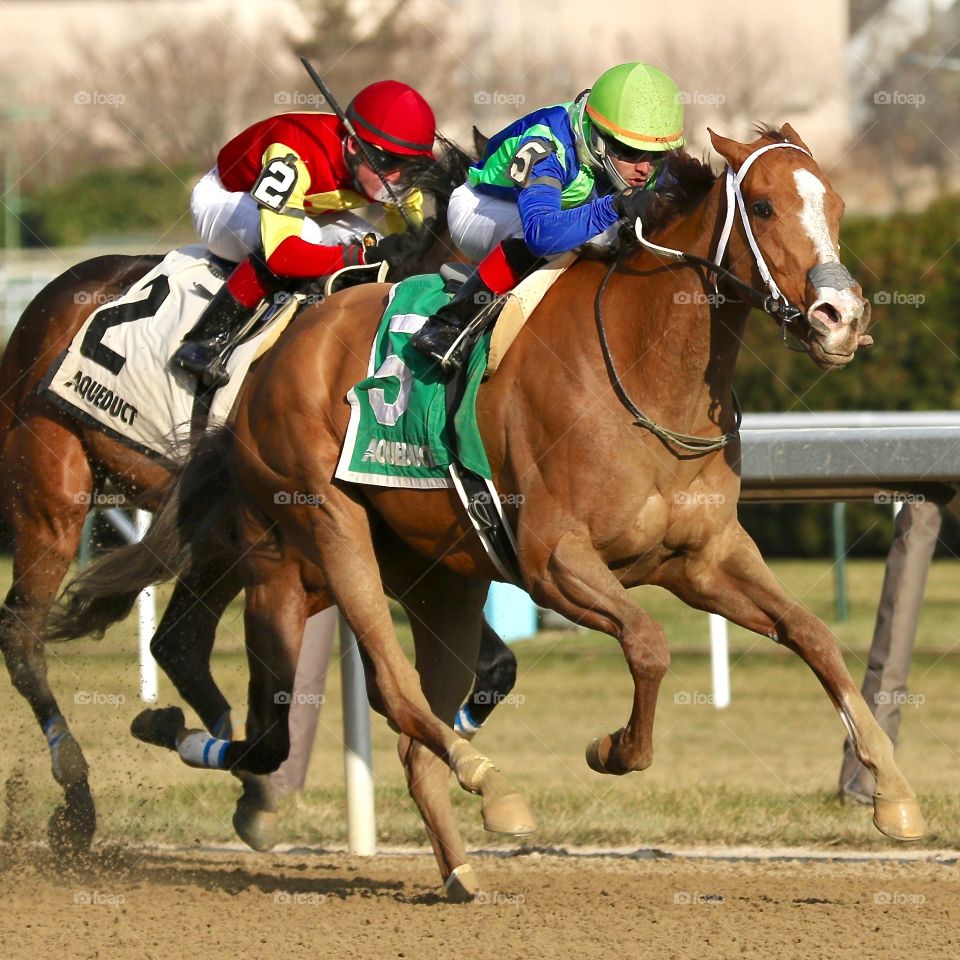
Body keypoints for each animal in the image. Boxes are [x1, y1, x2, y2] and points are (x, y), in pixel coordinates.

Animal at [0, 139, 476, 852]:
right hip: (51, 490)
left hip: (209, 537)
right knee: (23, 633)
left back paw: (236, 774)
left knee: (178, 642)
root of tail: (49, 299)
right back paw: (77, 798)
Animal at [52, 122, 924, 900]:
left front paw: (892, 792)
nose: (842, 318)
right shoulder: (552, 560)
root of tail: (278, 352)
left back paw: (457, 867)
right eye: (766, 208)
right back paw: (488, 783)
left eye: (837, 205)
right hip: (328, 530)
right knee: (393, 690)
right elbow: (647, 646)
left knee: (394, 727)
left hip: (441, 577)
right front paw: (612, 749)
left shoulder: (704, 558)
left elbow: (812, 636)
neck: (645, 366)